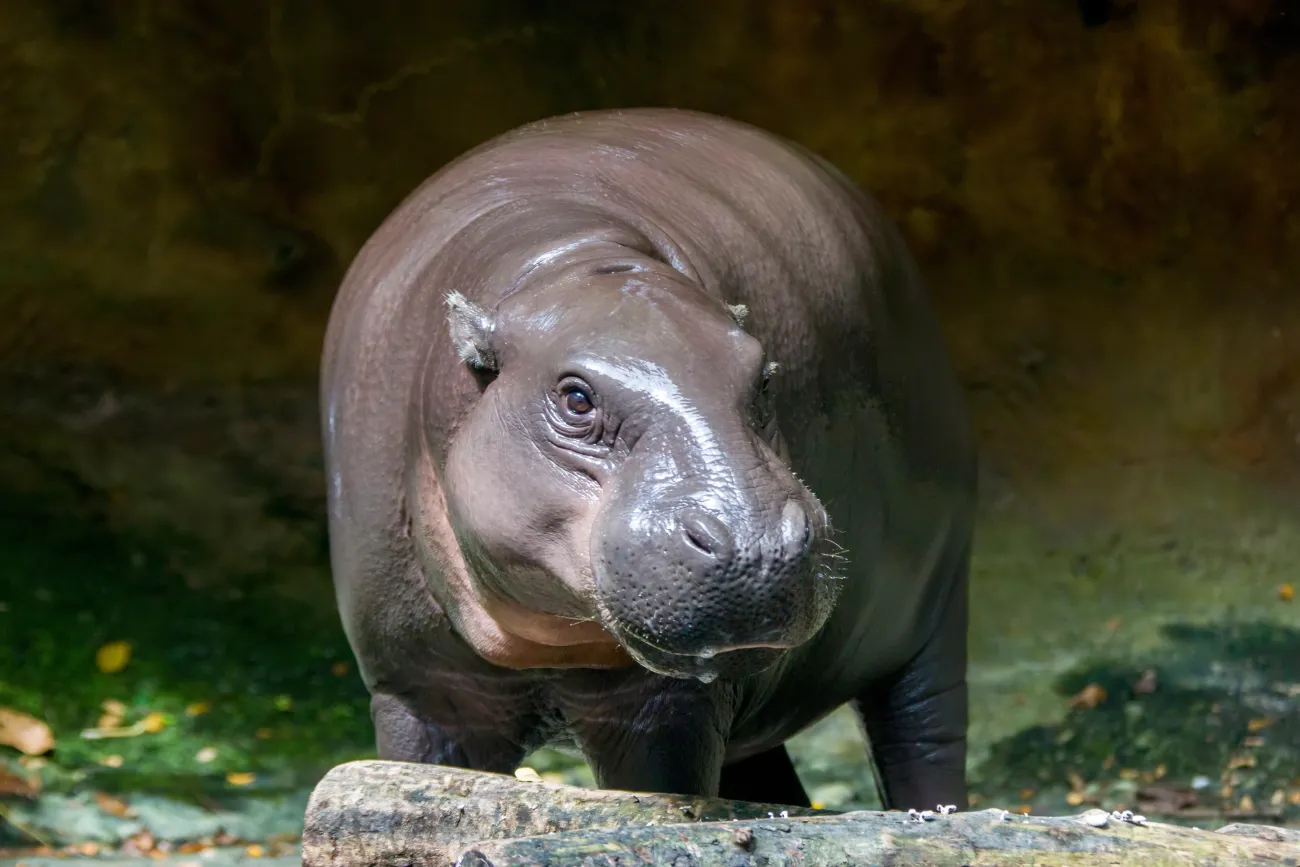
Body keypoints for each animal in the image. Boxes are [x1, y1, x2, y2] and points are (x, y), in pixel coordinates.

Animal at [319, 107, 977, 811]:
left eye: (765, 376)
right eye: (576, 398)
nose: (760, 546)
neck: (569, 262)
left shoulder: (663, 702)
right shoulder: (422, 692)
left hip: (935, 612)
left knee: (924, 735)